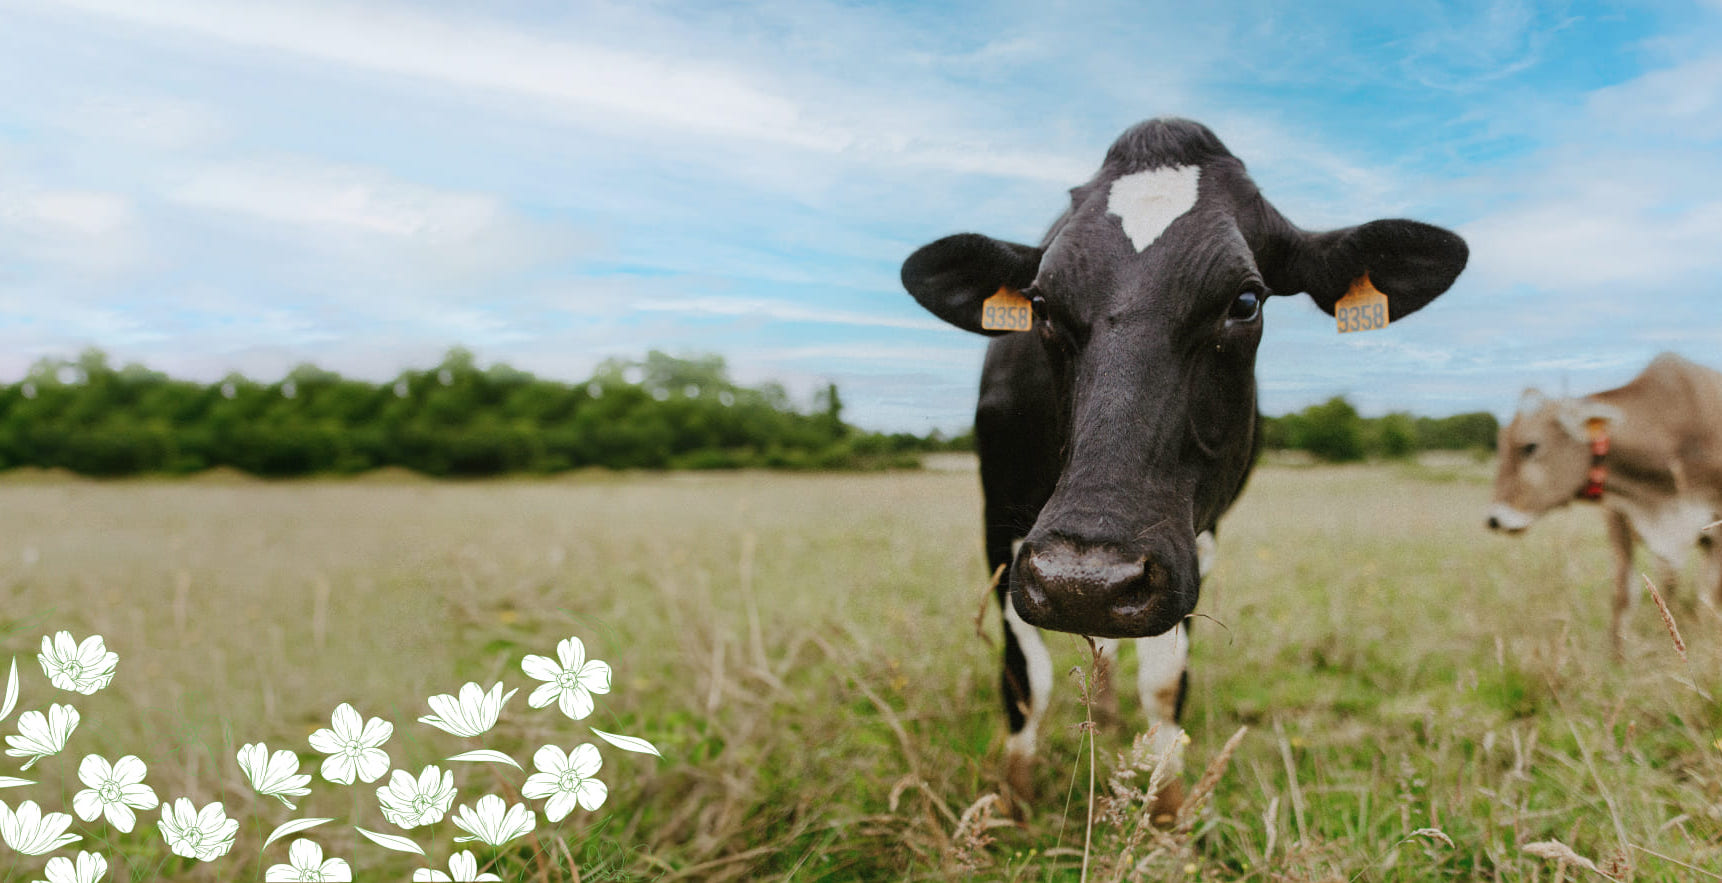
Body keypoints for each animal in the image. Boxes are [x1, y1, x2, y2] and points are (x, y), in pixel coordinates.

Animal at [902, 120, 1467, 808]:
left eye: (1246, 301)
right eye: (1040, 305)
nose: (1084, 580)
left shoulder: (1196, 537)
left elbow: (1165, 681)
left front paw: (1167, 806)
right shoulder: (1002, 527)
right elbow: (1024, 678)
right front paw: (1013, 803)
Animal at [1487, 352, 1715, 654]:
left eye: (1530, 446)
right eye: (1500, 444)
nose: (1493, 518)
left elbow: (1710, 595)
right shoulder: (1619, 516)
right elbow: (1623, 594)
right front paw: (1617, 659)